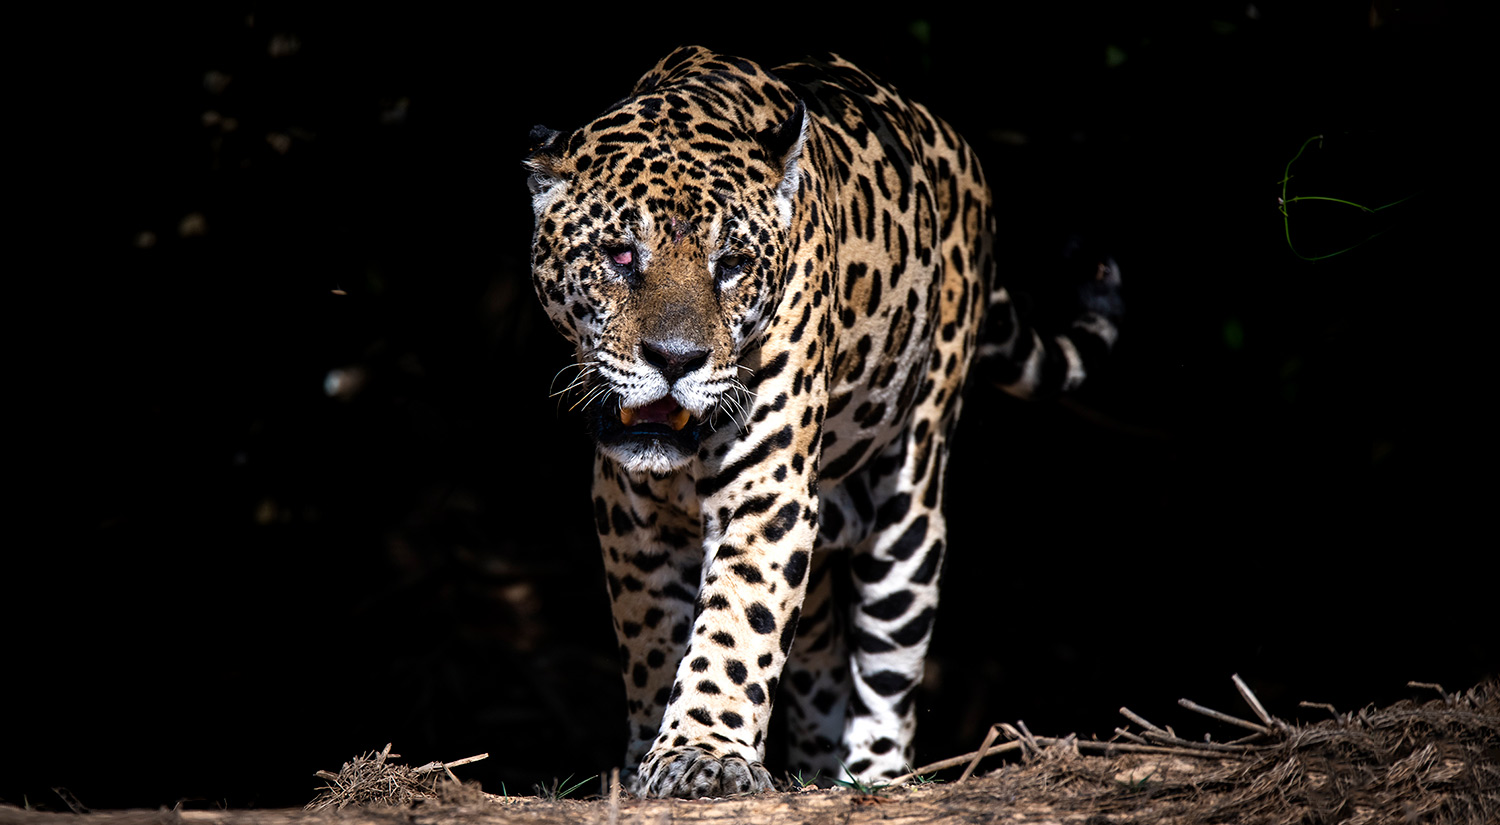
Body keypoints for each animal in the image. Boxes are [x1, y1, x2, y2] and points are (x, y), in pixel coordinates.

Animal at [523, 46, 1121, 799]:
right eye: (620, 256)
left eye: (732, 265)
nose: (676, 360)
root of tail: (957, 149)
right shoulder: (627, 507)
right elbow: (654, 636)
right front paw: (650, 755)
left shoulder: (768, 492)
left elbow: (735, 624)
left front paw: (703, 752)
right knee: (819, 655)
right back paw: (811, 770)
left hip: (911, 508)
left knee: (888, 675)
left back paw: (870, 779)